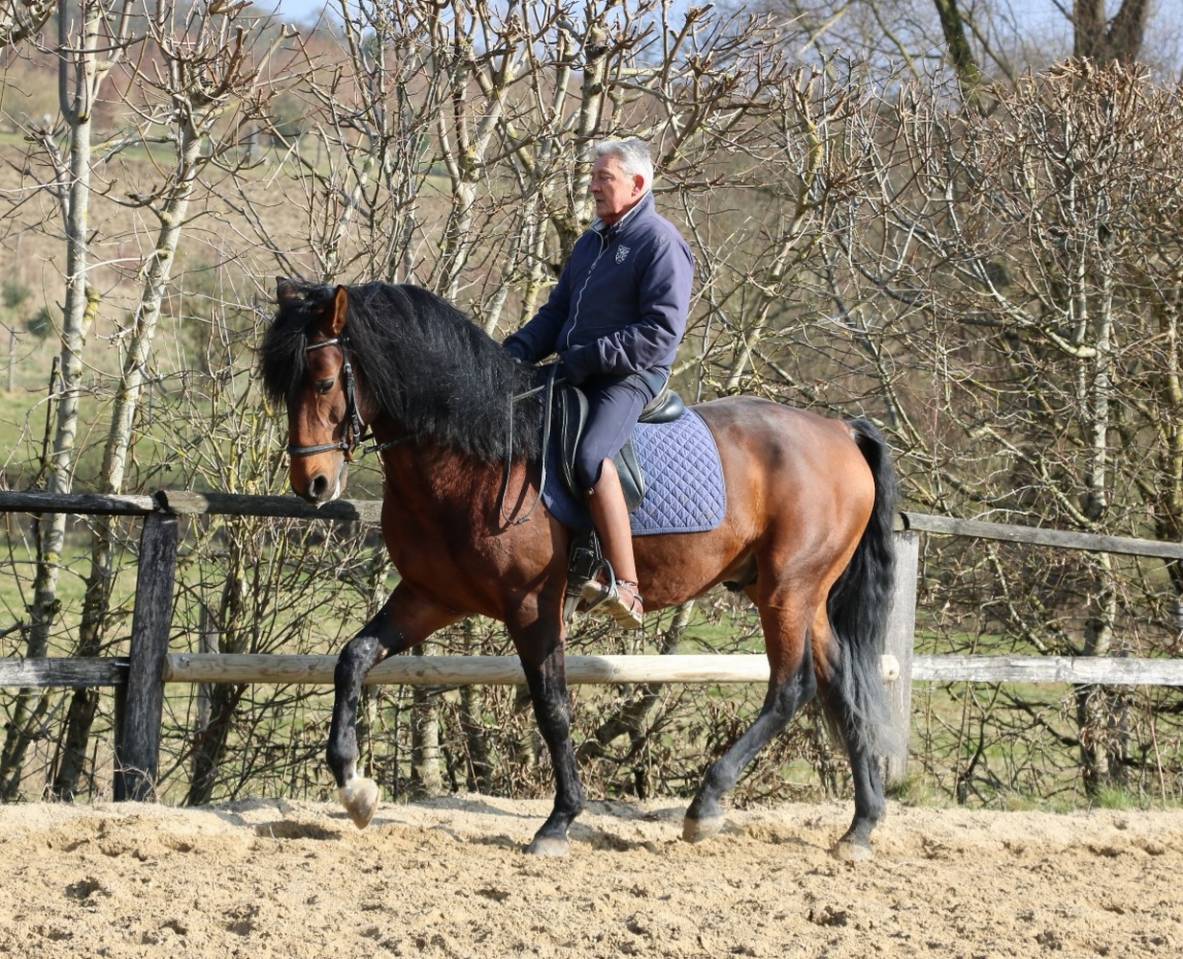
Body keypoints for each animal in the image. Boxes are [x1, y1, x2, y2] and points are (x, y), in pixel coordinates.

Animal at [260, 277, 898, 859]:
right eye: (284, 387)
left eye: (323, 381)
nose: (313, 484)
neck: (476, 456)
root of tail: (839, 430)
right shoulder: (430, 595)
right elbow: (353, 659)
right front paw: (355, 789)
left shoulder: (532, 606)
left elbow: (552, 706)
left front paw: (560, 821)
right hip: (803, 596)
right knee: (842, 686)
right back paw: (860, 829)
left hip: (787, 592)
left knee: (791, 689)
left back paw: (707, 806)